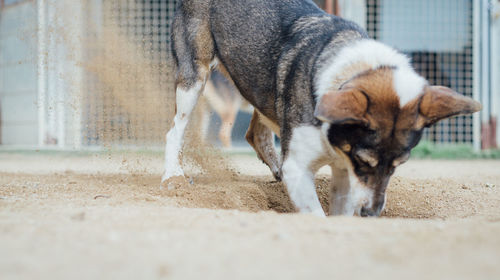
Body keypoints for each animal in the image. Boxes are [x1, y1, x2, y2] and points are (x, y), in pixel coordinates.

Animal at [162, 0, 482, 218]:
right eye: (364, 161)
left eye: (398, 166)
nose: (371, 214)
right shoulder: (303, 166)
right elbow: (316, 214)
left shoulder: (343, 174)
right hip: (194, 77)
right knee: (175, 130)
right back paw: (172, 176)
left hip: (261, 88)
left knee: (256, 134)